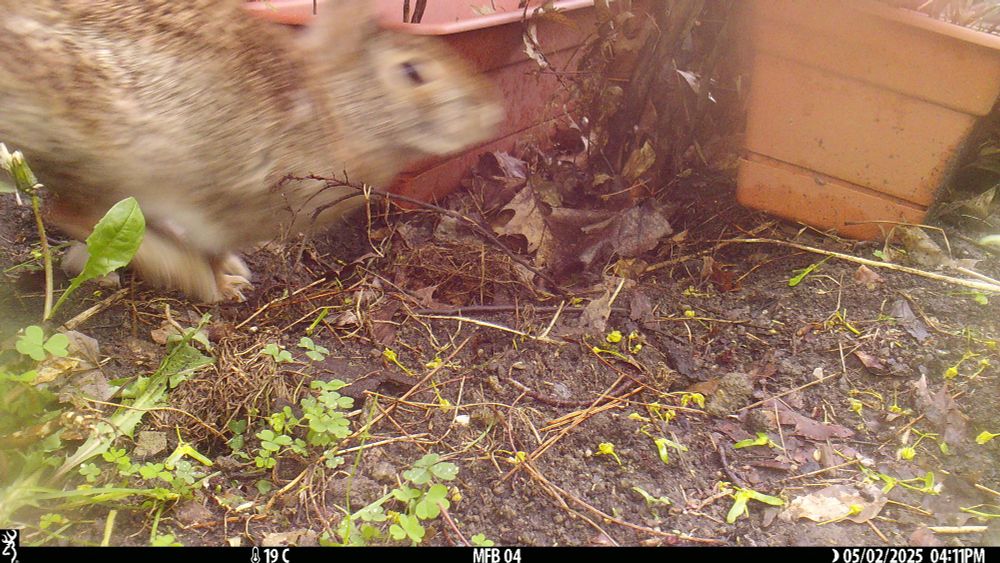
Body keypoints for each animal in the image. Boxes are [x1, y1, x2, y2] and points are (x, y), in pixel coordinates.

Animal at [0, 0, 502, 302]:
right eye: (414, 73)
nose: (490, 114)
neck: (334, 110)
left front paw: (233, 272)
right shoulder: (221, 205)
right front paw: (224, 285)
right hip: (120, 159)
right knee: (71, 213)